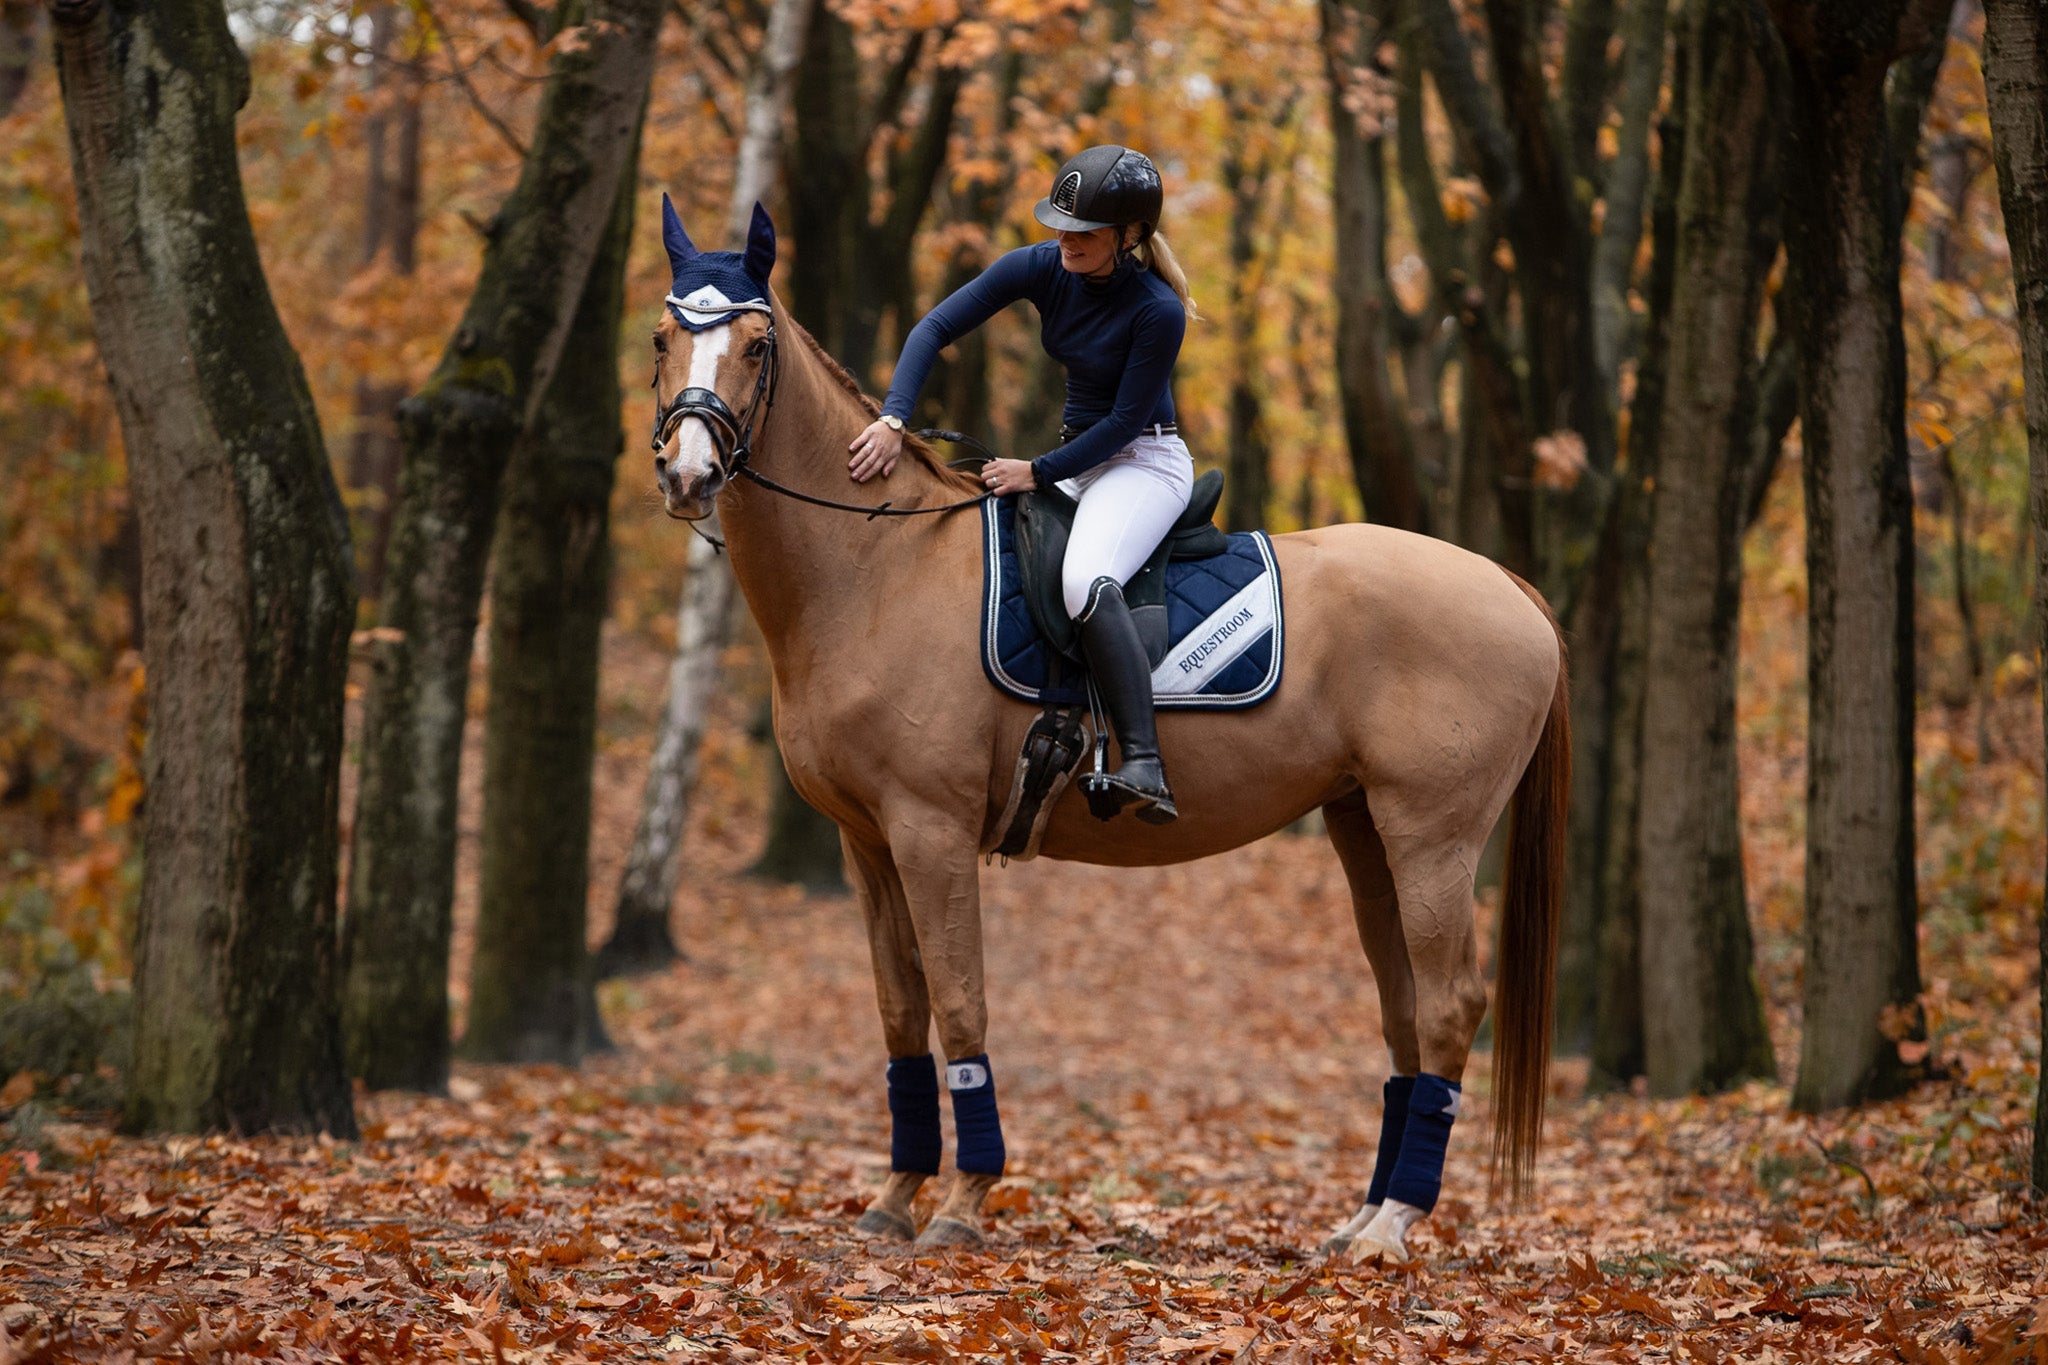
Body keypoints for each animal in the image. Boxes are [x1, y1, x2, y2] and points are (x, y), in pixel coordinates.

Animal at [648, 202, 1568, 1261]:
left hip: (1434, 838)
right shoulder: (867, 843)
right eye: (663, 337)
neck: (876, 566)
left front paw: (962, 1202)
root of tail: (1508, 584)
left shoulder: (929, 832)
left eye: (756, 347)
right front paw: (894, 1195)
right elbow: (900, 1012)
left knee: (1451, 1003)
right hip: (1365, 829)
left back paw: (1396, 1224)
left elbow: (960, 1005)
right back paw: (1365, 1217)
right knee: (1406, 1006)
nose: (688, 472)